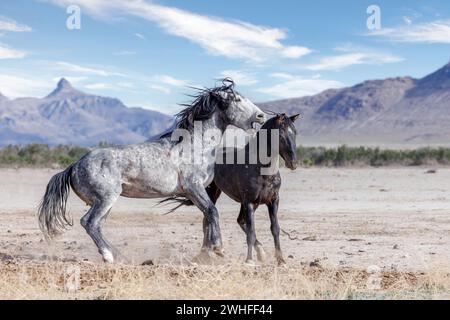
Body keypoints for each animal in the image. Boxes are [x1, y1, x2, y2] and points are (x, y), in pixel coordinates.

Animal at [38, 79, 266, 262]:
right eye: (237, 99)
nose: (261, 115)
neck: (195, 145)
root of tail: (73, 166)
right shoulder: (193, 187)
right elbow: (212, 212)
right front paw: (218, 249)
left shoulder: (198, 191)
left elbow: (207, 217)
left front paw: (207, 253)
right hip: (105, 198)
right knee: (89, 223)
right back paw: (109, 256)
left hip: (104, 202)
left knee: (98, 225)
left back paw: (119, 256)